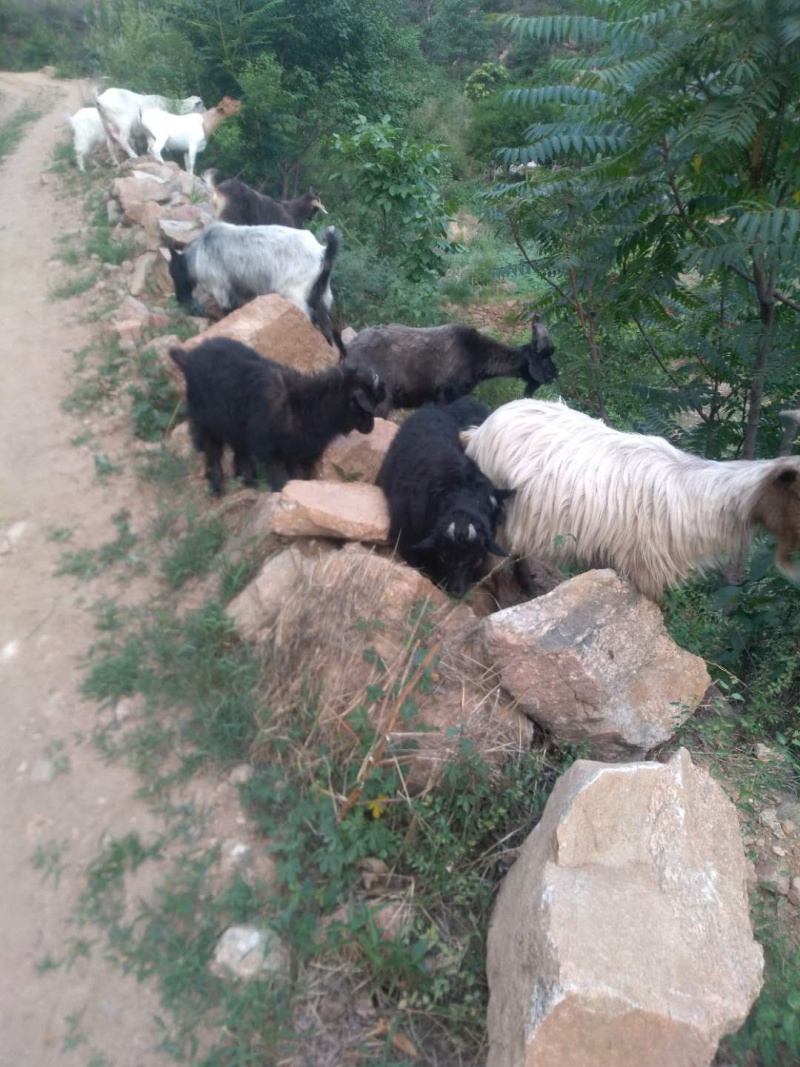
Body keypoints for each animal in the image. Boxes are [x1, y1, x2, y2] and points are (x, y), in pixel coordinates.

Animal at [167, 221, 344, 351]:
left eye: (174, 273)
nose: (180, 299)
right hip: (322, 295)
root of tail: (322, 253)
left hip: (294, 295)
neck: (199, 253)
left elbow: (228, 310)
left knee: (311, 319)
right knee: (329, 326)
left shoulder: (220, 286)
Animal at [169, 338, 385, 494]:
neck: (304, 407)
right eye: (364, 405)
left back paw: (250, 482)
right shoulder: (271, 452)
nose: (370, 428)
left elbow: (299, 477)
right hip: (205, 422)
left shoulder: (299, 452)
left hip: (236, 428)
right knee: (212, 452)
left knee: (240, 453)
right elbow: (281, 480)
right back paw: (219, 487)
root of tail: (189, 358)